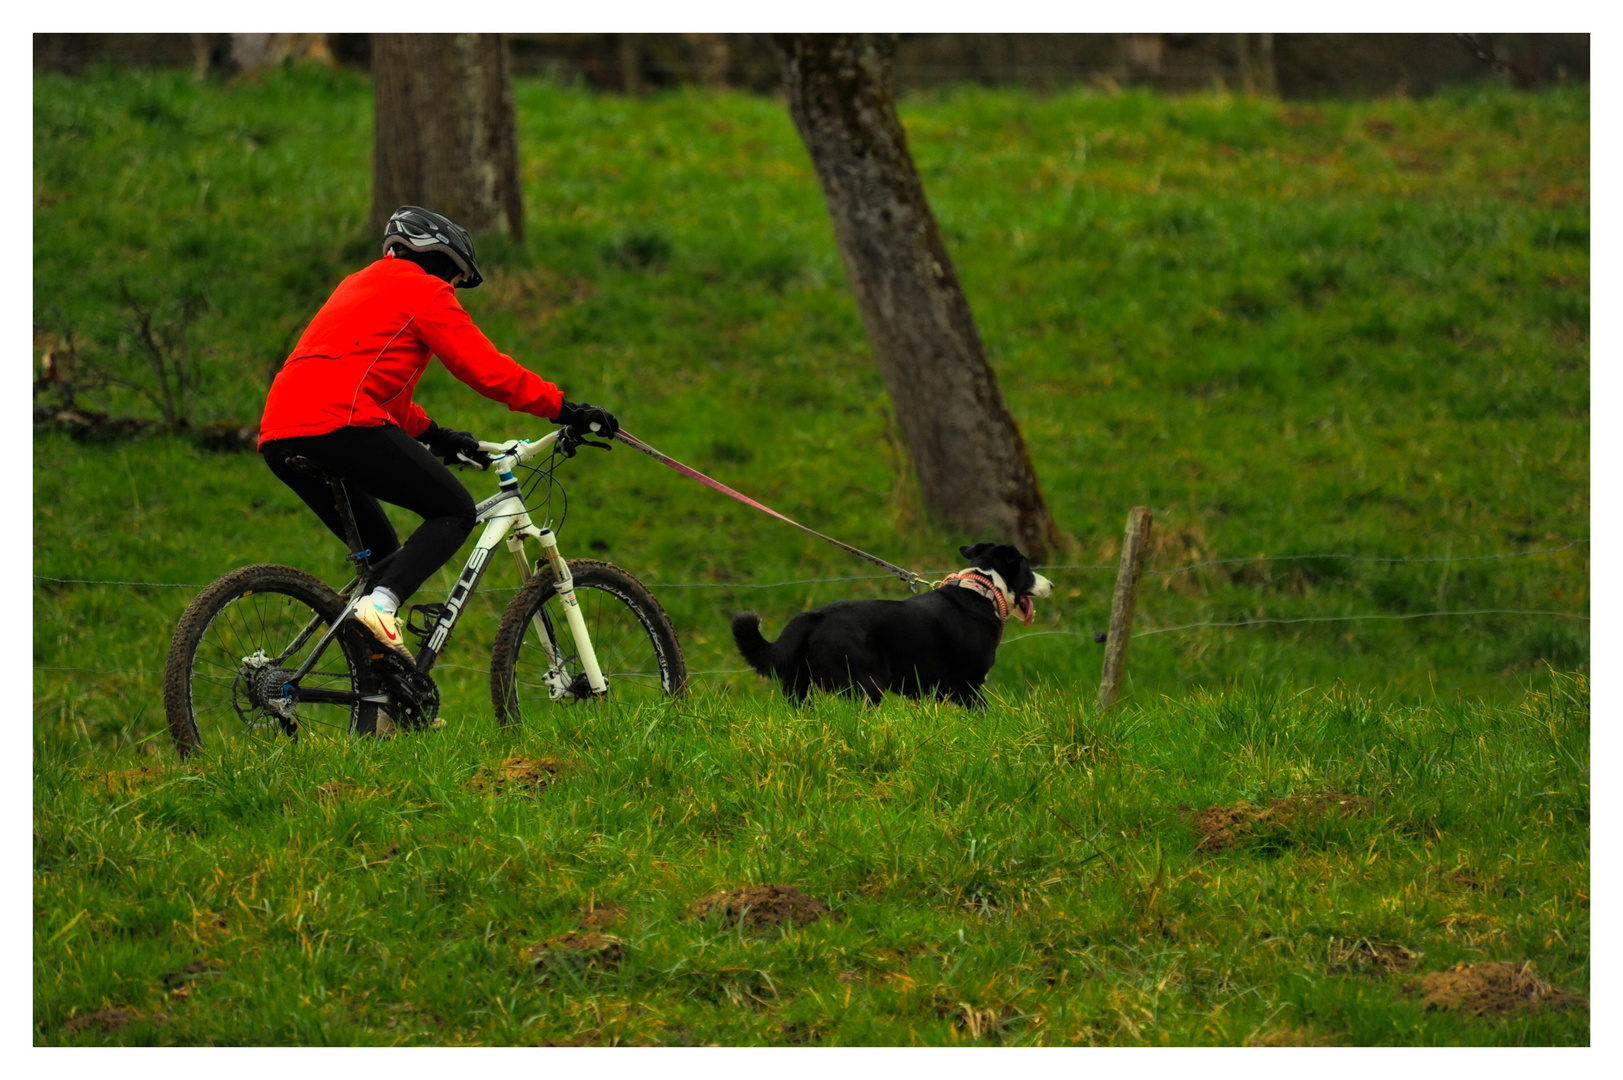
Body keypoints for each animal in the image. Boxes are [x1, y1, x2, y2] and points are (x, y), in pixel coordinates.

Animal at [733, 539, 1051, 708]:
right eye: (1027, 567)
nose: (1051, 584)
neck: (984, 588)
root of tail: (813, 617)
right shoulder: (967, 686)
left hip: (798, 689)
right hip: (867, 685)